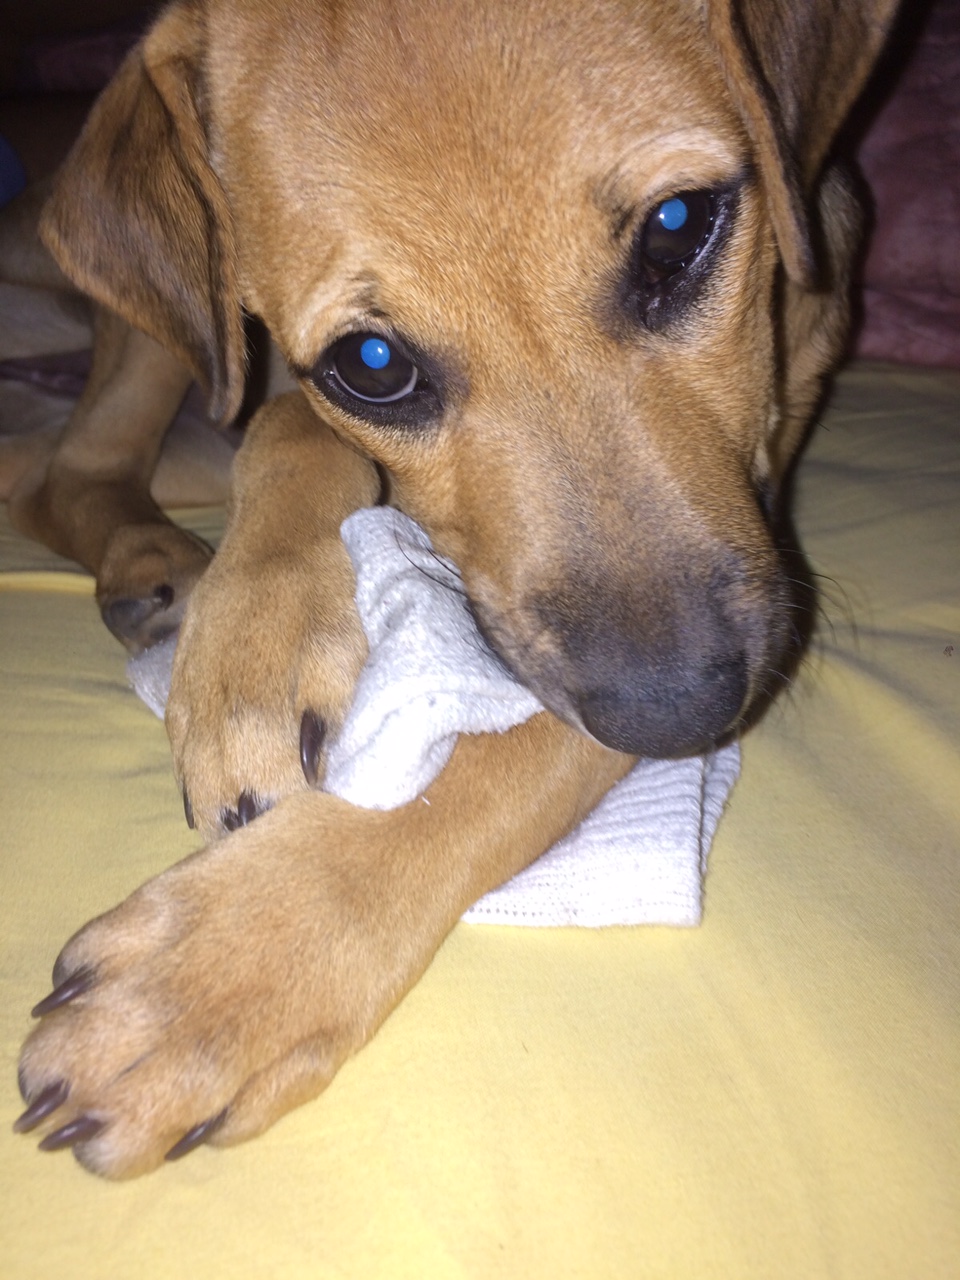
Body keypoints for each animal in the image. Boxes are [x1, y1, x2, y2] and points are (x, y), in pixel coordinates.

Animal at [10, 0, 898, 1176]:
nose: (681, 715)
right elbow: (289, 420)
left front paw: (206, 982)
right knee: (74, 465)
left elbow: (509, 753)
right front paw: (249, 649)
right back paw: (160, 568)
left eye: (677, 228)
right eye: (373, 364)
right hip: (163, 347)